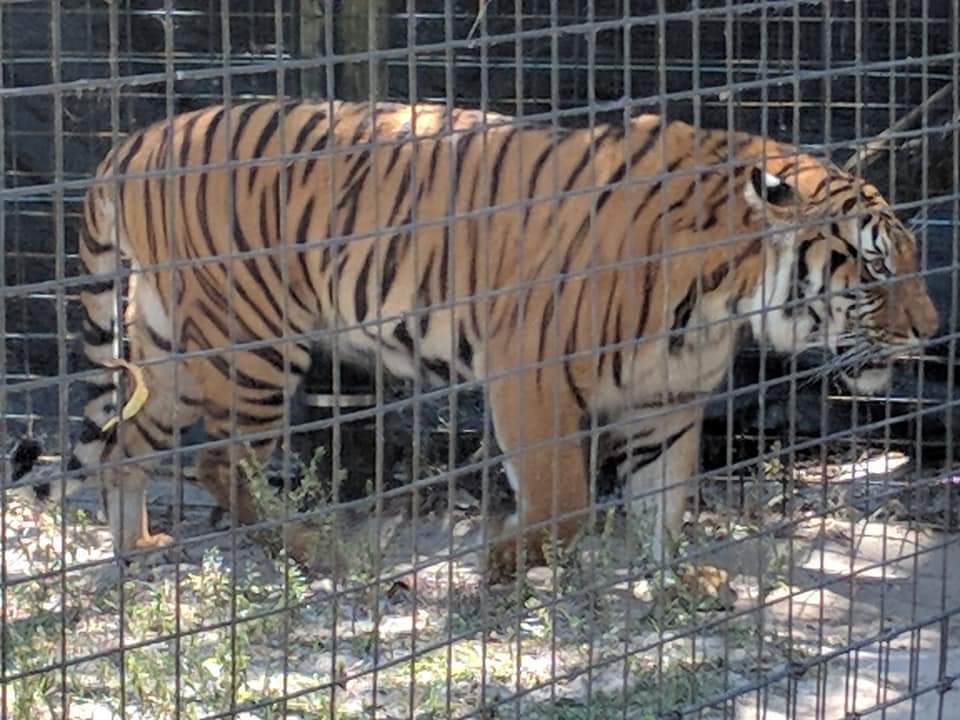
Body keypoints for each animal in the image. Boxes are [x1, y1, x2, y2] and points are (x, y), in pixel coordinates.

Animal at [12, 99, 939, 578]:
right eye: (875, 269)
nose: (931, 333)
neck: (722, 294)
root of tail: (135, 140)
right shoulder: (532, 373)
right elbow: (565, 503)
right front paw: (499, 567)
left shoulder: (666, 403)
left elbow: (662, 507)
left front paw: (675, 584)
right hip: (251, 346)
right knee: (222, 465)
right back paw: (319, 550)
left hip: (172, 345)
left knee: (126, 443)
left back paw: (135, 549)